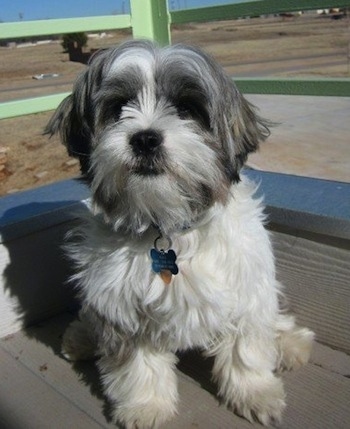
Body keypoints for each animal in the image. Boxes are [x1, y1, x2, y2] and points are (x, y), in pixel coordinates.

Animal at [45, 39, 314, 424]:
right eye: (118, 108)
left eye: (186, 109)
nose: (145, 139)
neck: (167, 224)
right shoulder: (123, 307)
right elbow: (138, 364)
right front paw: (145, 406)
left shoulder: (245, 289)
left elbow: (245, 348)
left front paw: (256, 392)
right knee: (90, 316)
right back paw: (82, 336)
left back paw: (289, 342)